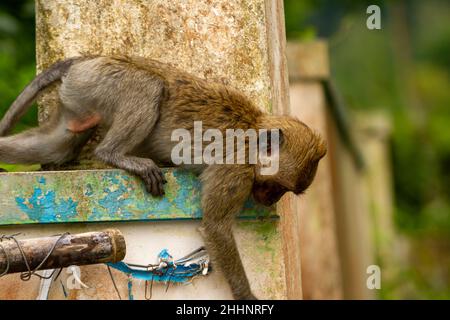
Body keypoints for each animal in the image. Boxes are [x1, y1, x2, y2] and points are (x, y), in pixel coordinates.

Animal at [0, 55, 326, 300]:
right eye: (277, 187)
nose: (270, 200)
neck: (254, 133)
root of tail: (87, 59)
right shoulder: (235, 170)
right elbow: (217, 228)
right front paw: (246, 297)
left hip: (81, 95)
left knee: (56, 144)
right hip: (104, 81)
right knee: (149, 87)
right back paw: (115, 154)